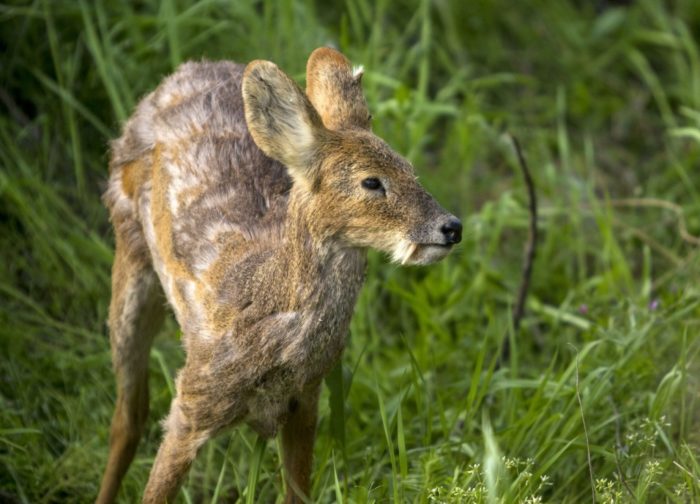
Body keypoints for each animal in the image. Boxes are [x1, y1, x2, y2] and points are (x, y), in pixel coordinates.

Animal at [97, 48, 460, 504]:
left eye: (410, 169)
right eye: (372, 182)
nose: (451, 226)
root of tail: (187, 69)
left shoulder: (306, 400)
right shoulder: (193, 400)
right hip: (128, 250)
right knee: (128, 416)